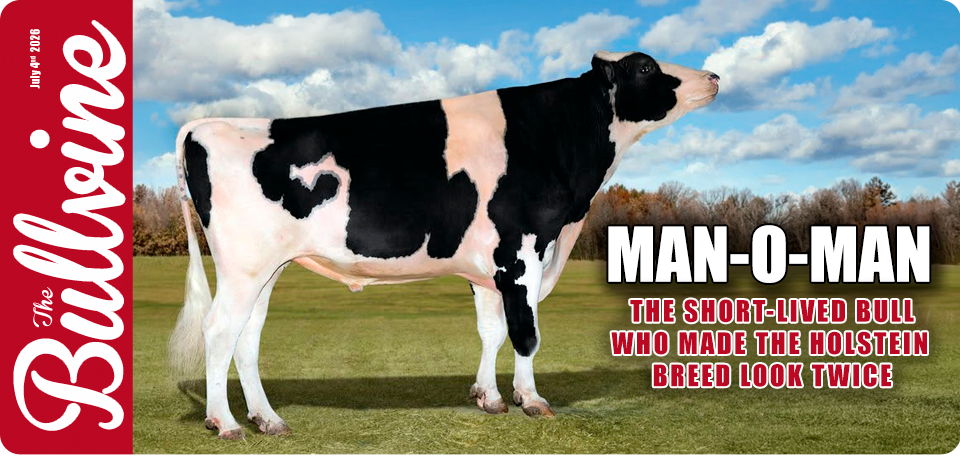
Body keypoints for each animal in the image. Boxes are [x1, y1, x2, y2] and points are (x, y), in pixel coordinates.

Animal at [169, 50, 719, 439]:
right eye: (645, 66)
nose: (713, 76)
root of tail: (206, 124)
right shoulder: (523, 252)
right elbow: (526, 333)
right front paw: (531, 400)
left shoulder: (489, 268)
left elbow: (491, 331)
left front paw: (488, 397)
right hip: (242, 265)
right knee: (220, 330)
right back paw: (226, 423)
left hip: (265, 268)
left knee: (247, 337)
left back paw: (268, 419)